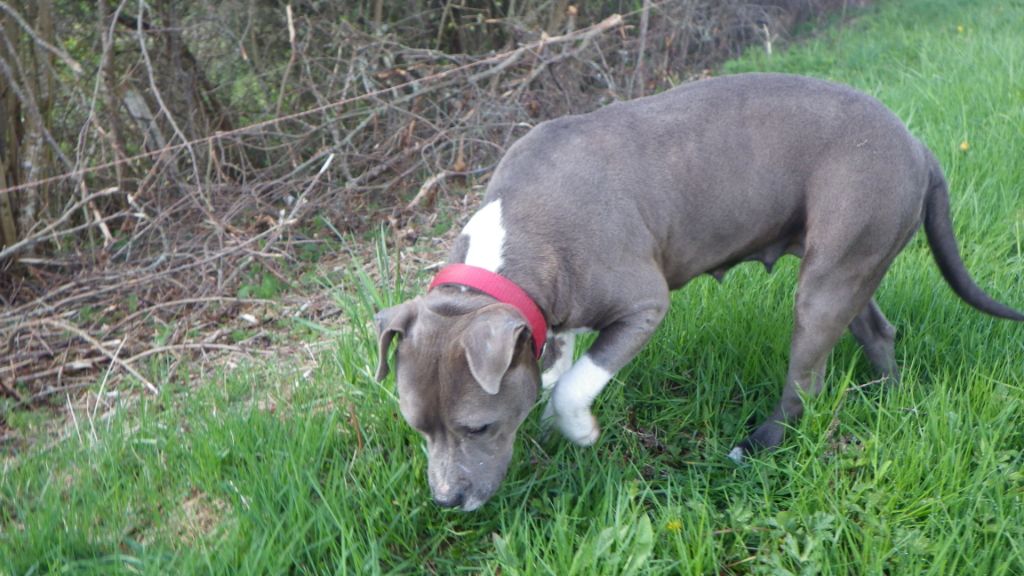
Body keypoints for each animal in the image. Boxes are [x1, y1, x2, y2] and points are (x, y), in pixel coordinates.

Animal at [372, 73, 1019, 508]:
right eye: (416, 428)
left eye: (478, 427)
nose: (446, 499)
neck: (514, 244)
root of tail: (918, 146)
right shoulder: (550, 317)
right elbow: (554, 362)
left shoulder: (642, 305)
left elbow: (577, 382)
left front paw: (577, 428)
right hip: (854, 264)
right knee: (877, 331)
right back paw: (889, 398)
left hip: (827, 279)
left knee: (804, 380)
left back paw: (758, 446)